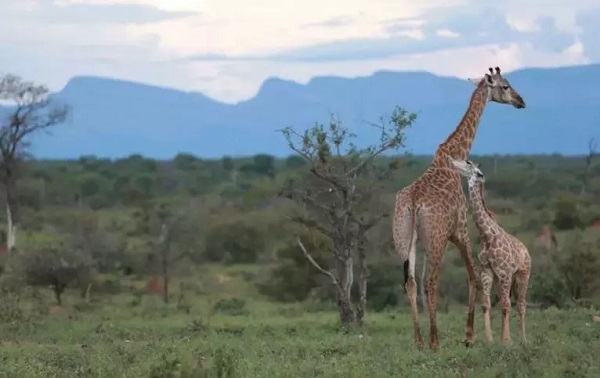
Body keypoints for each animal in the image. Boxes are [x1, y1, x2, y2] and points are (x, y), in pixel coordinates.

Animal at [450, 158, 528, 344]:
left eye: (468, 163)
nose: (452, 161)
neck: (486, 236)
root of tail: (526, 250)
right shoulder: (487, 271)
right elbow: (487, 304)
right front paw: (491, 340)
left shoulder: (505, 272)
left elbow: (506, 305)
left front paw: (506, 341)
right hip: (506, 279)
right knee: (508, 302)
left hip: (522, 275)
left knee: (521, 305)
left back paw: (523, 340)